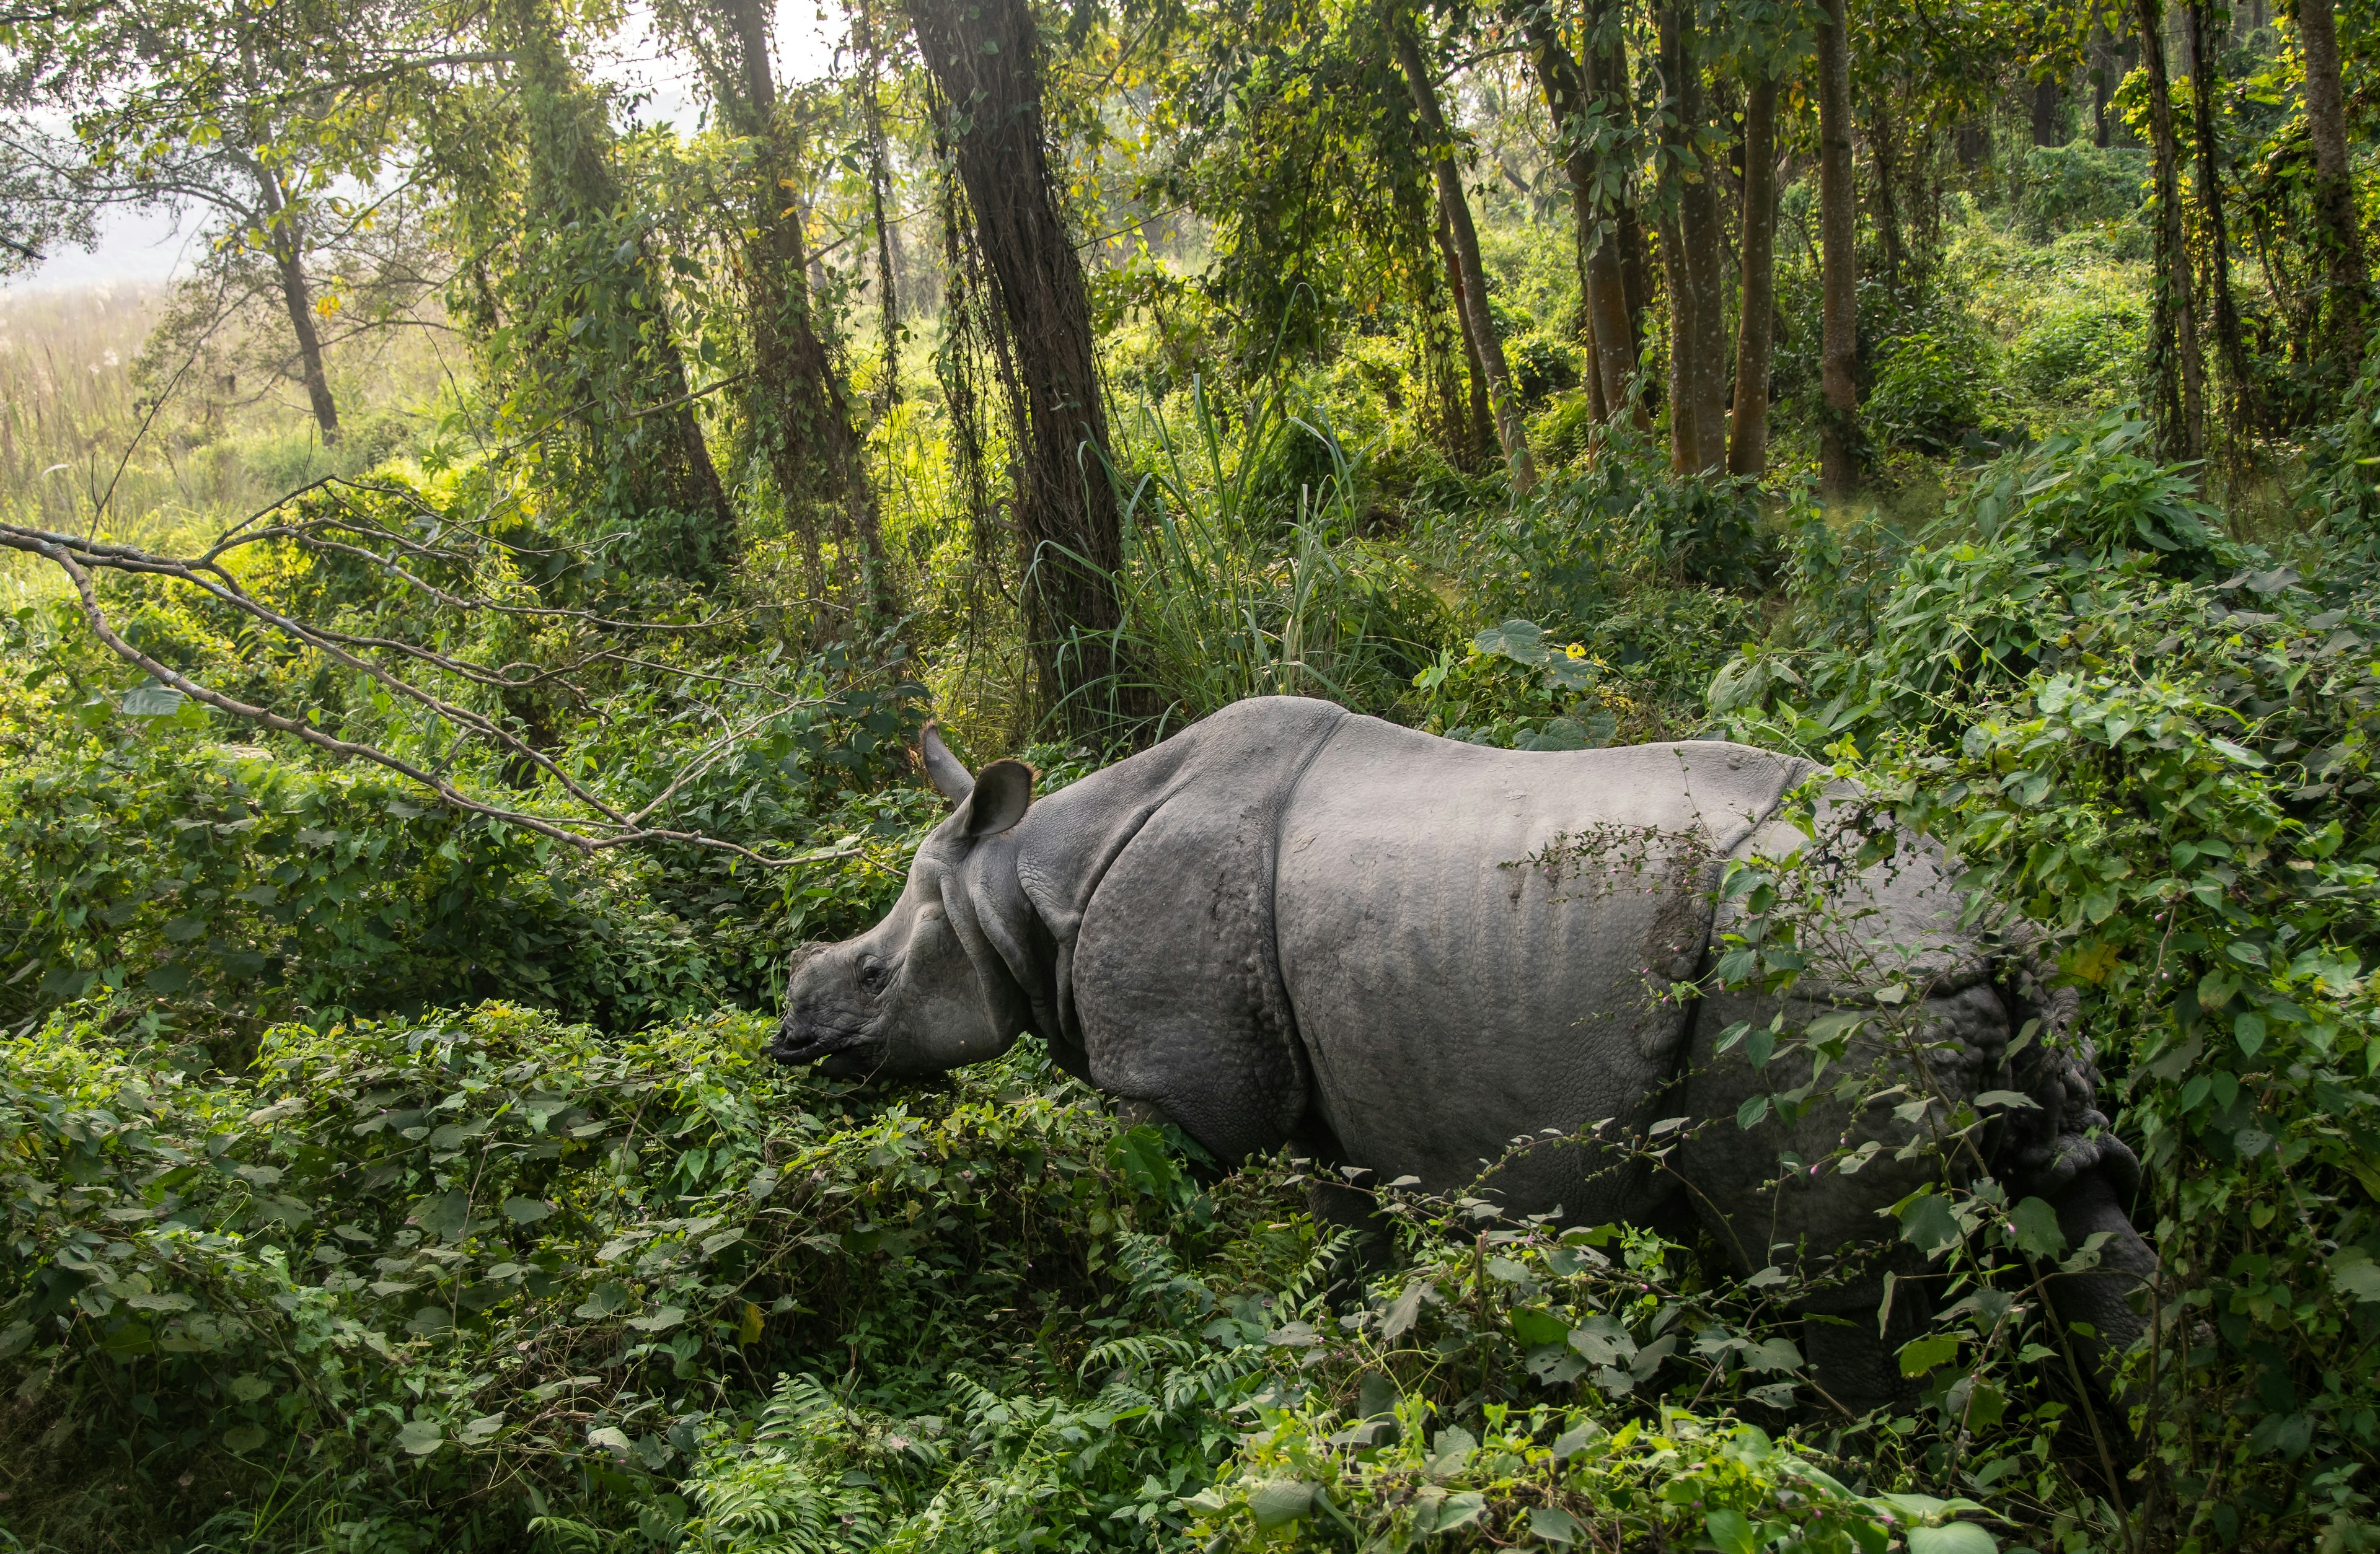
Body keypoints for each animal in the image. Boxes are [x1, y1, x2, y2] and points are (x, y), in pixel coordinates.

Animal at [772, 695, 2151, 1413]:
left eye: (877, 977)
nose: (793, 1037)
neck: (1025, 885)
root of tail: (1985, 913)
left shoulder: (1179, 1098)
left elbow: (1136, 1217)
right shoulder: (1322, 1108)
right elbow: (1344, 1246)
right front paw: (1347, 1371)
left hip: (1826, 974)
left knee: (1828, 1281)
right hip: (1937, 975)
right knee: (2075, 1204)